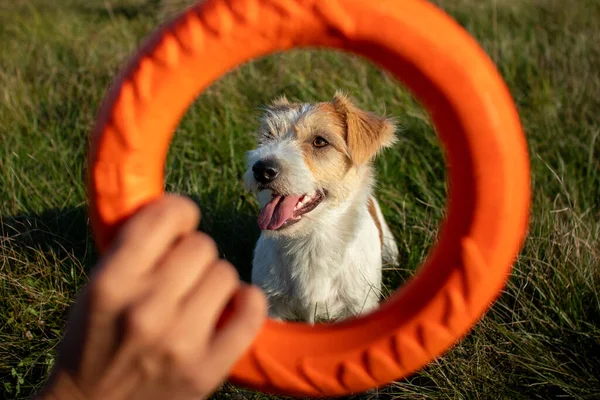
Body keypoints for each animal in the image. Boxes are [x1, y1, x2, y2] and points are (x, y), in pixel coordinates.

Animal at [244, 92, 398, 324]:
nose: (261, 170)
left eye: (319, 141)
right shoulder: (271, 304)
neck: (311, 239)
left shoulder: (358, 305)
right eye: (269, 136)